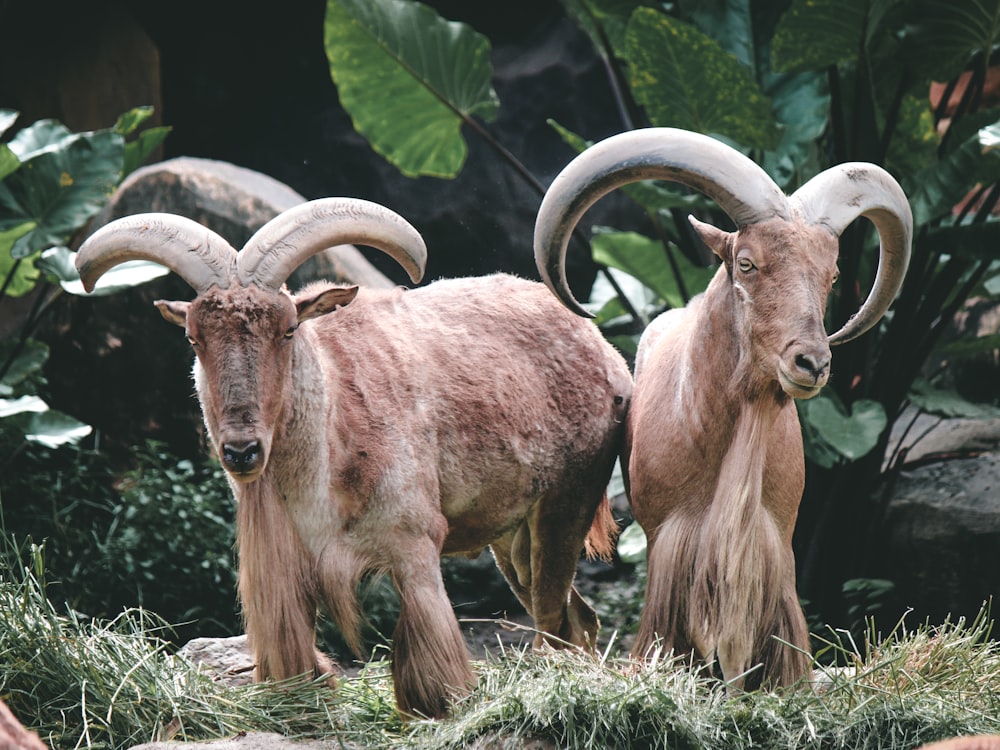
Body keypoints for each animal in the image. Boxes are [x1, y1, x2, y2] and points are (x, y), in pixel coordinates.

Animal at [74, 198, 632, 716]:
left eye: (288, 330)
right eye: (194, 337)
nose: (242, 450)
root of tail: (598, 342)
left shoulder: (414, 546)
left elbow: (434, 667)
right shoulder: (289, 567)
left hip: (564, 509)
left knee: (553, 620)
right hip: (511, 539)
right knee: (578, 617)